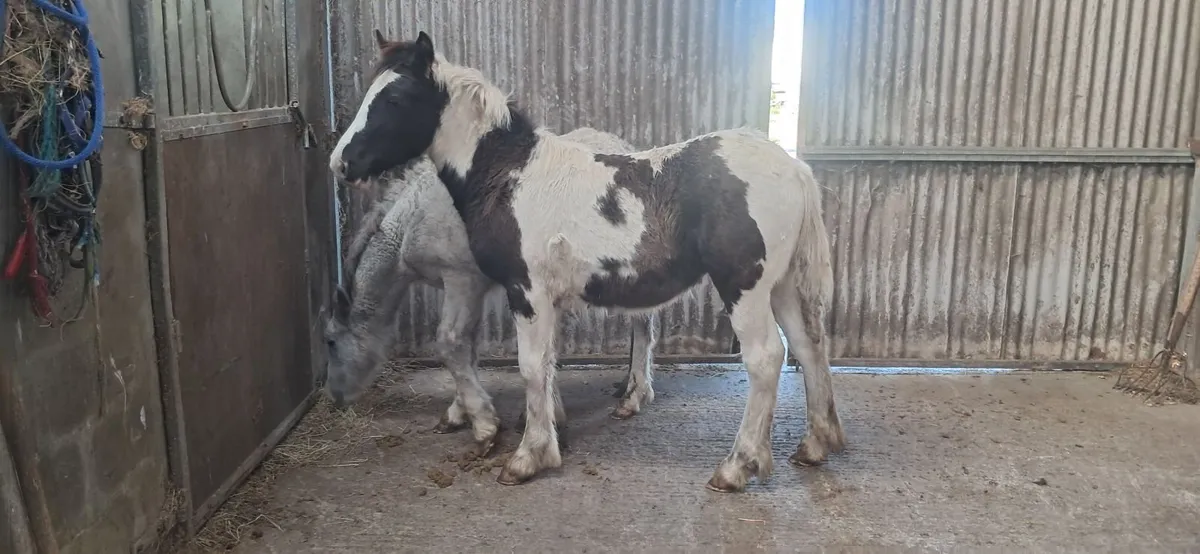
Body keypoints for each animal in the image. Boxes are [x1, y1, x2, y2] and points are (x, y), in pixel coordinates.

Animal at [325, 127, 658, 458]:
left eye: (330, 342)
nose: (335, 398)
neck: (414, 220)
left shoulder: (461, 280)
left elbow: (452, 344)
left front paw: (482, 424)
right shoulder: (477, 288)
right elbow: (469, 348)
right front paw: (461, 412)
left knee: (643, 324)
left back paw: (633, 396)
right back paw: (625, 386)